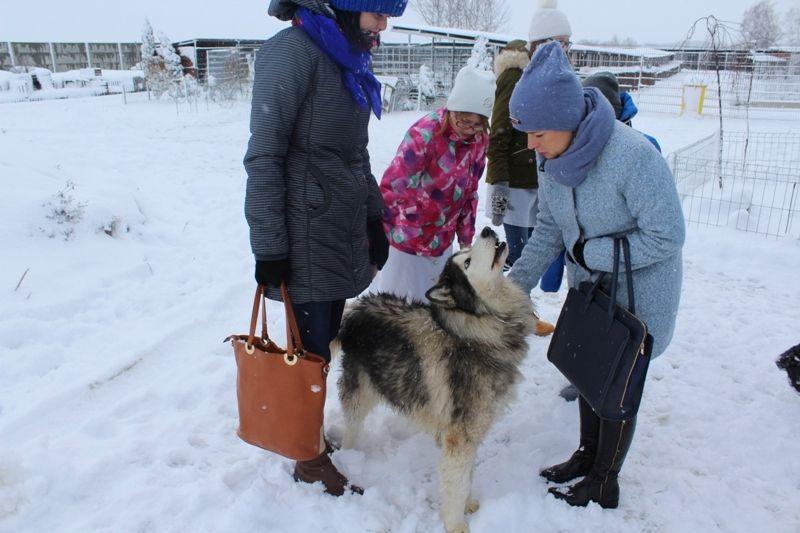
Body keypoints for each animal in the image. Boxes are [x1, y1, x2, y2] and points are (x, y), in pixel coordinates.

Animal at [338, 225, 536, 532]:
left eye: (467, 252)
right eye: (467, 262)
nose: (487, 229)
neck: (479, 333)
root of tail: (356, 308)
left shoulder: (467, 434)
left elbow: (466, 478)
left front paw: (468, 504)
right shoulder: (461, 437)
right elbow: (457, 482)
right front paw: (456, 524)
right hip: (360, 392)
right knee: (350, 425)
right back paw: (348, 458)